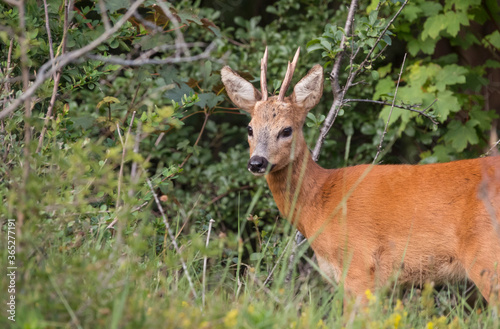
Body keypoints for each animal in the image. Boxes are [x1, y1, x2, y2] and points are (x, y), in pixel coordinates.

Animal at [223, 47, 500, 302]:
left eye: (286, 130)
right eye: (250, 128)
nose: (257, 162)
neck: (320, 201)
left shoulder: (359, 263)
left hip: (486, 258)